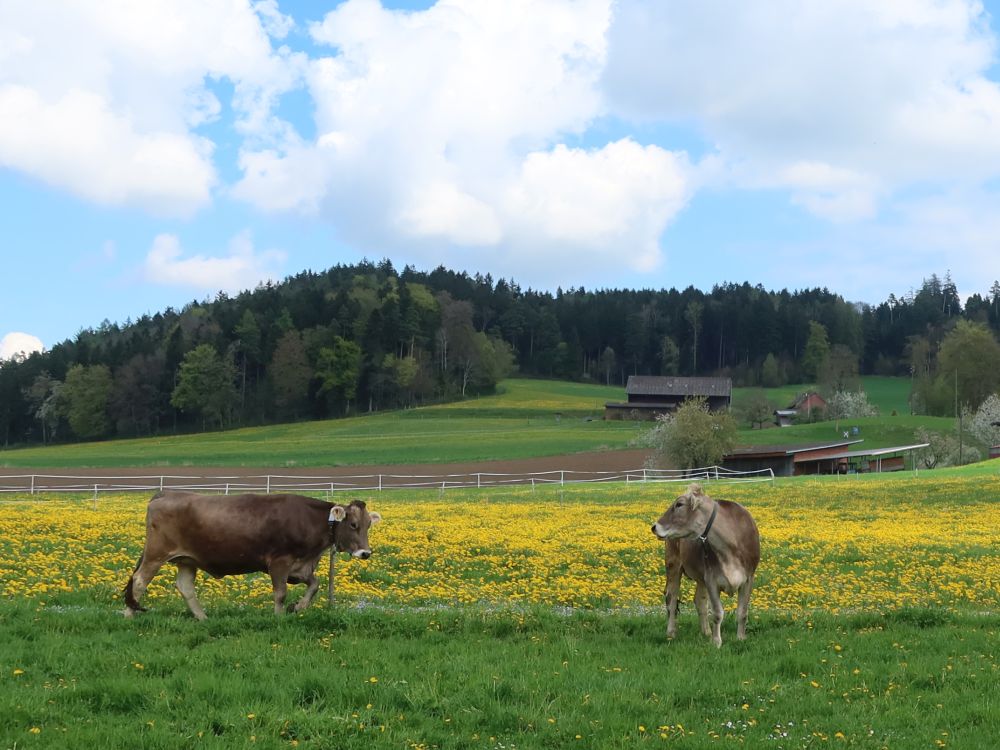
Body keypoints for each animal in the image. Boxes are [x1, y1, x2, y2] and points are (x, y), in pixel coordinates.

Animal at [123, 491, 381, 620]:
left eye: (369, 525)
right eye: (354, 525)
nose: (365, 553)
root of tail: (164, 494)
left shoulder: (301, 567)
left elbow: (315, 585)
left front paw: (298, 607)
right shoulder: (279, 562)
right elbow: (280, 594)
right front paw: (279, 617)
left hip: (187, 560)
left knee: (185, 587)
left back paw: (202, 618)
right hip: (156, 554)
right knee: (139, 581)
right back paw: (129, 615)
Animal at [650, 483, 759, 647]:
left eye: (679, 504)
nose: (654, 526)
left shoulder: (748, 578)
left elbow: (742, 612)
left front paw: (740, 638)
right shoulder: (711, 578)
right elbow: (717, 613)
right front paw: (716, 642)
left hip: (700, 576)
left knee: (699, 600)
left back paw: (706, 631)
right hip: (672, 563)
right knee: (671, 598)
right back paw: (671, 632)